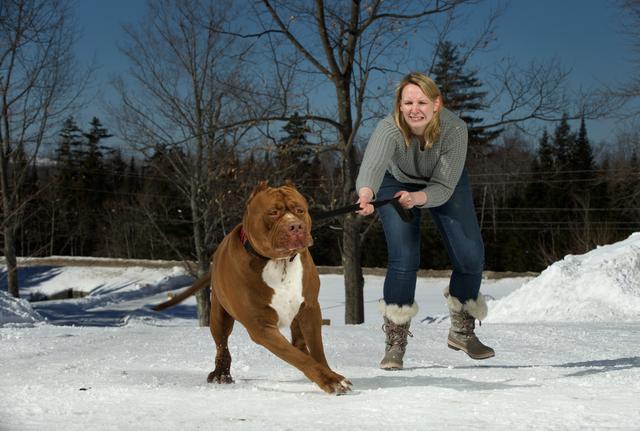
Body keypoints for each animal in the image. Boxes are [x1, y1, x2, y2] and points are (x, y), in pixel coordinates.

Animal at [152, 182, 352, 394]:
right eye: (273, 212)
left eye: (300, 210)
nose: (296, 226)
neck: (279, 262)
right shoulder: (261, 327)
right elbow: (298, 358)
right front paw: (330, 380)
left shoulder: (310, 309)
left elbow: (316, 350)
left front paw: (330, 375)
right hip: (219, 317)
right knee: (222, 346)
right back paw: (221, 373)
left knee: (298, 343)